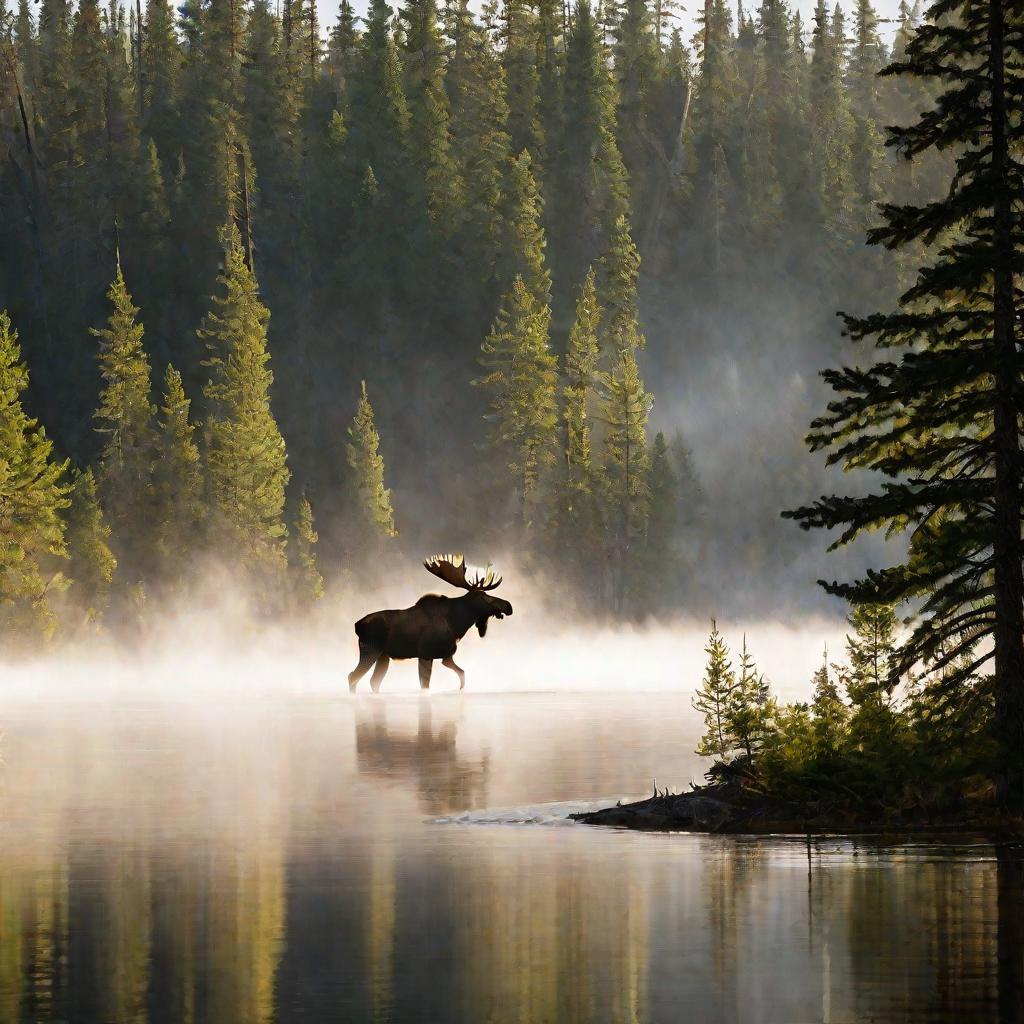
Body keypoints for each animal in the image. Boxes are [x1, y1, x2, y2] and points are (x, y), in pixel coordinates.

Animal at [350, 557, 512, 692]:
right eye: (483, 596)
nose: (508, 605)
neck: (457, 623)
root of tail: (357, 625)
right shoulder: (426, 654)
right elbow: (425, 686)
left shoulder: (447, 656)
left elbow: (462, 675)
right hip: (371, 649)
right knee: (353, 677)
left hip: (383, 656)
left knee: (373, 681)